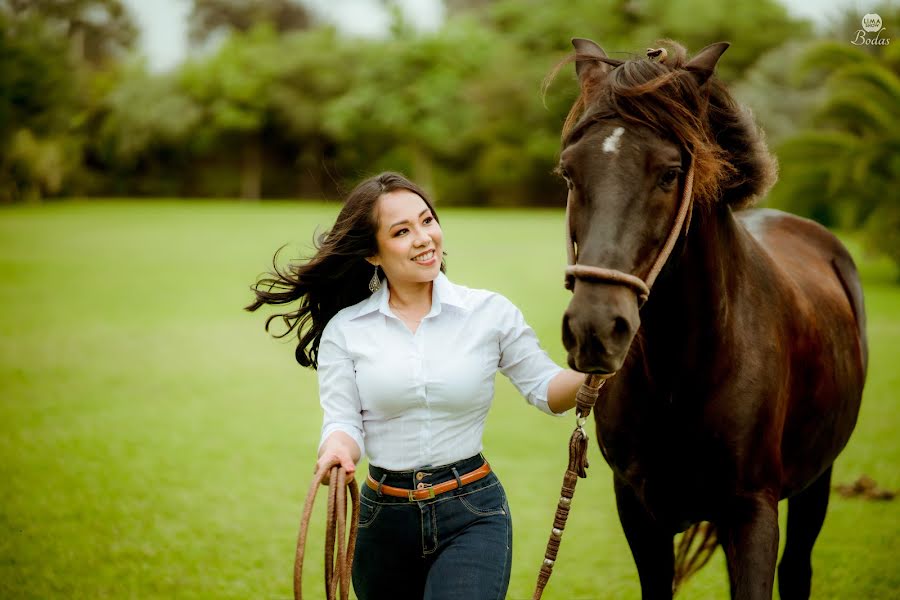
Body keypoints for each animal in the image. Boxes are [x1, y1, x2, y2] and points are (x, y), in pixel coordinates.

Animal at [560, 38, 868, 600]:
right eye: (569, 172)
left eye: (669, 173)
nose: (595, 329)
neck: (684, 373)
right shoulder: (638, 511)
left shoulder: (752, 512)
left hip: (817, 480)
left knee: (798, 571)